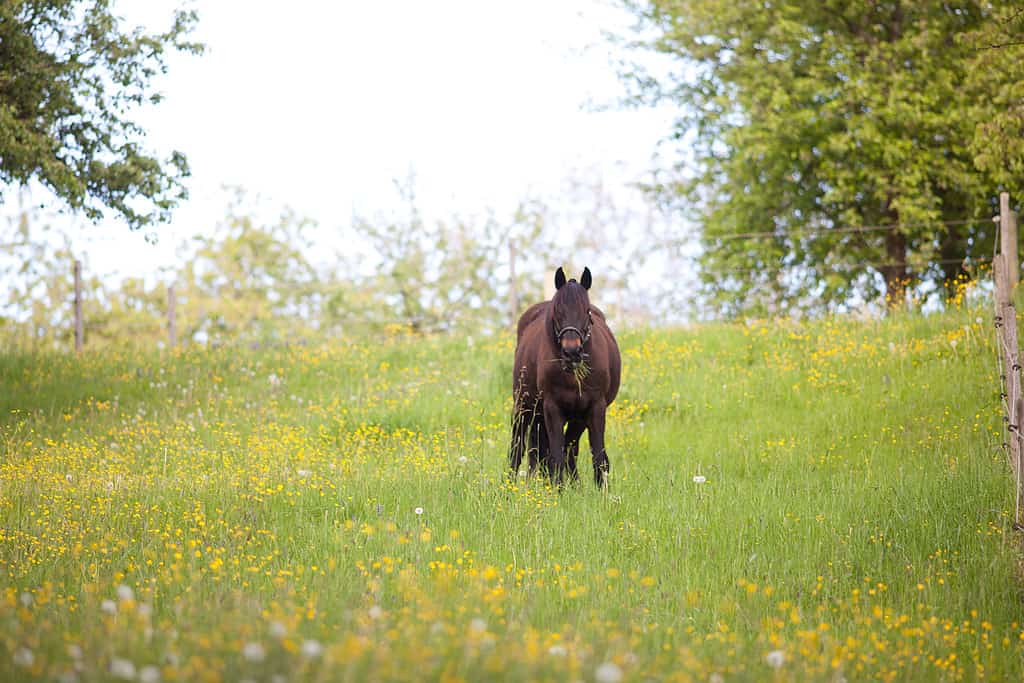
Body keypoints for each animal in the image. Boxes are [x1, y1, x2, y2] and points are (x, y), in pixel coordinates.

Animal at [507, 266, 618, 485]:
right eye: (557, 311)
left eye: (587, 311)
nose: (571, 351)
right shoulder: (552, 408)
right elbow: (555, 457)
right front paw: (557, 490)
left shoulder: (595, 408)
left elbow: (598, 458)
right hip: (524, 407)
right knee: (518, 448)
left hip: (573, 418)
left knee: (567, 450)